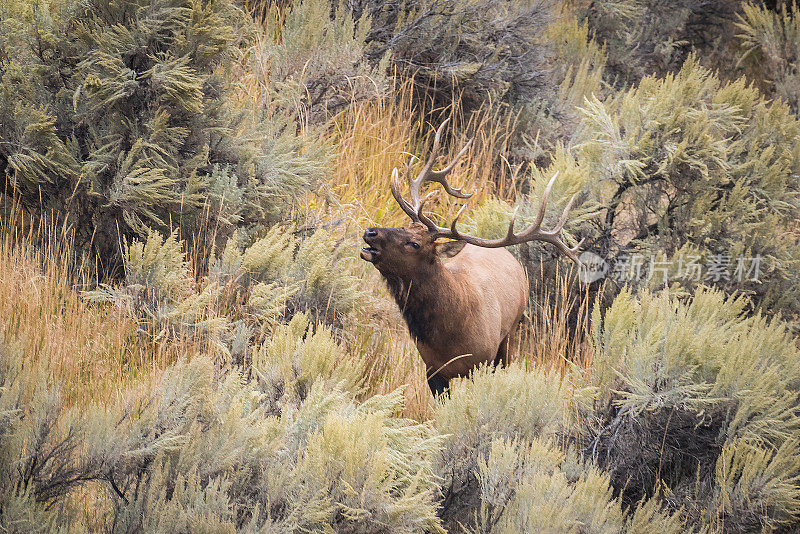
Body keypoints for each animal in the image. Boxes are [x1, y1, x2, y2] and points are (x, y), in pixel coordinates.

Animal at [362, 121, 580, 398]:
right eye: (403, 226)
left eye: (414, 243)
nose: (370, 232)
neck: (450, 336)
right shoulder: (432, 370)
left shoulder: (482, 362)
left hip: (509, 336)